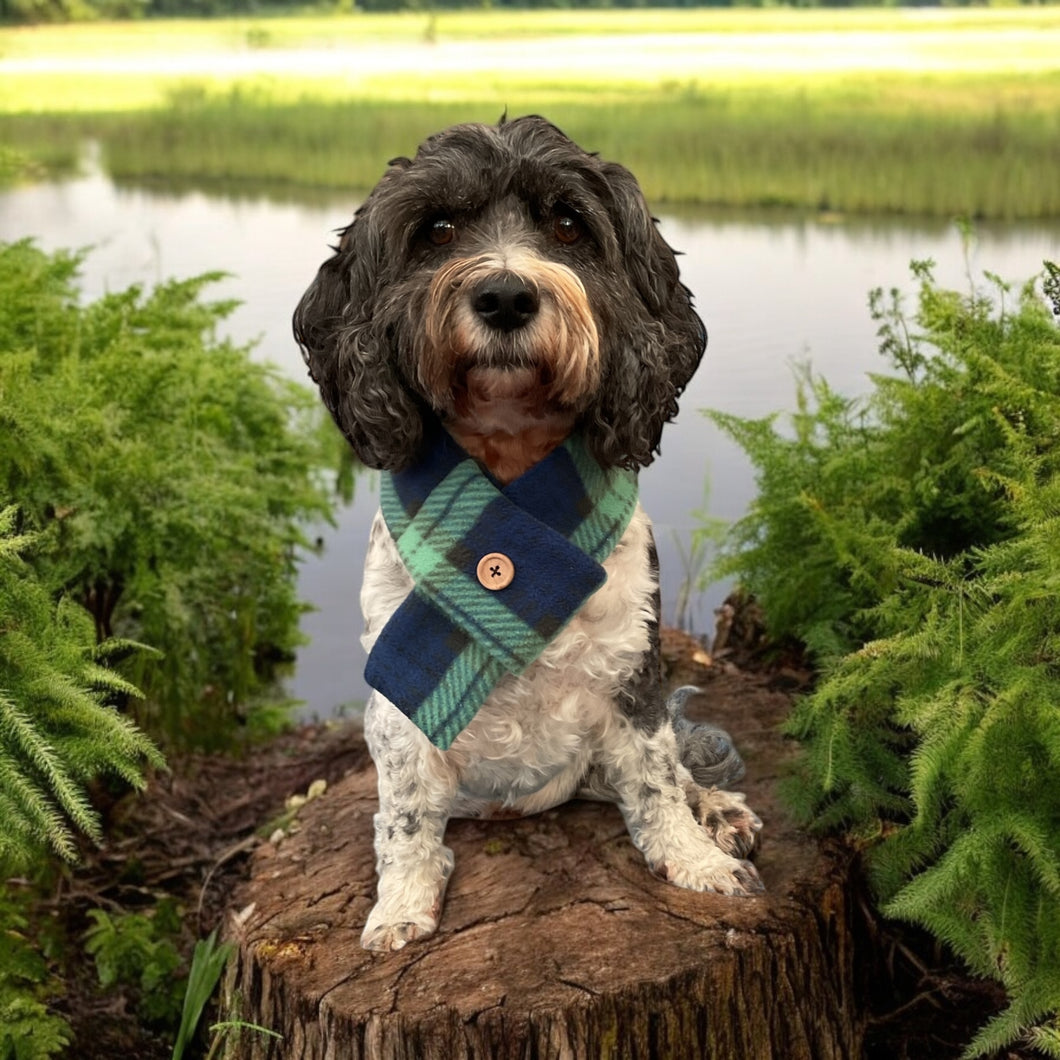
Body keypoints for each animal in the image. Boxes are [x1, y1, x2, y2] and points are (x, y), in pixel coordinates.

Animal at [294, 116, 767, 953]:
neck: (512, 481)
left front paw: (696, 861)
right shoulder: (397, 697)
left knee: (670, 770)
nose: (507, 294)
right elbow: (405, 813)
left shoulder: (631, 665)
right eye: (437, 229)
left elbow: (654, 779)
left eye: (569, 225)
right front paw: (401, 904)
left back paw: (716, 812)